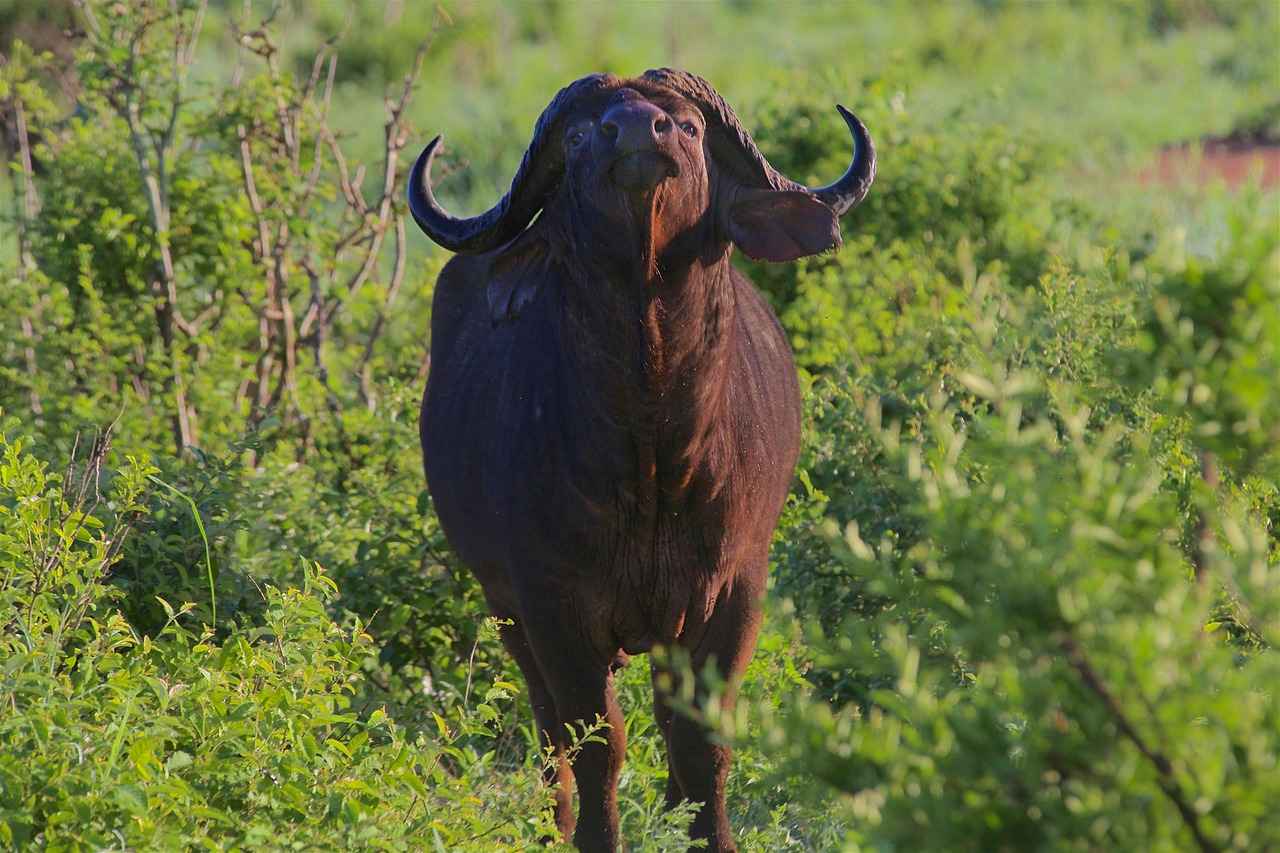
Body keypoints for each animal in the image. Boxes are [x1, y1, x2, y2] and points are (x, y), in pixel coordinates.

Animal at [409, 69, 874, 852]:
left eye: (687, 127)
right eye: (576, 135)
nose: (633, 133)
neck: (654, 450)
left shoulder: (734, 593)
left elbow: (701, 738)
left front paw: (709, 834)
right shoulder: (553, 604)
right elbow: (597, 741)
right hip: (506, 609)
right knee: (548, 730)